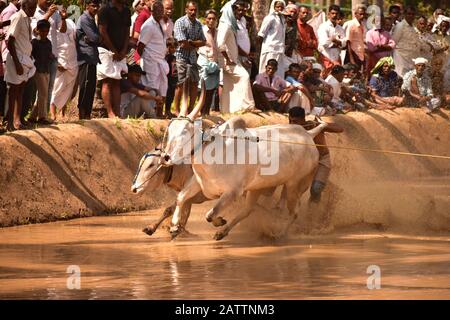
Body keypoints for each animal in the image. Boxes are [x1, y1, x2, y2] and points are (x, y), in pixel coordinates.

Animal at [160, 81, 326, 239]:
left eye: (185, 131)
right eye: (170, 130)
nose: (165, 158)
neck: (214, 151)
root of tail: (308, 135)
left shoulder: (232, 192)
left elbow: (210, 214)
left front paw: (219, 220)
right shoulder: (198, 182)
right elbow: (181, 198)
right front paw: (174, 227)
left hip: (295, 185)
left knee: (294, 212)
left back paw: (279, 234)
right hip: (257, 187)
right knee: (248, 209)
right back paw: (222, 233)